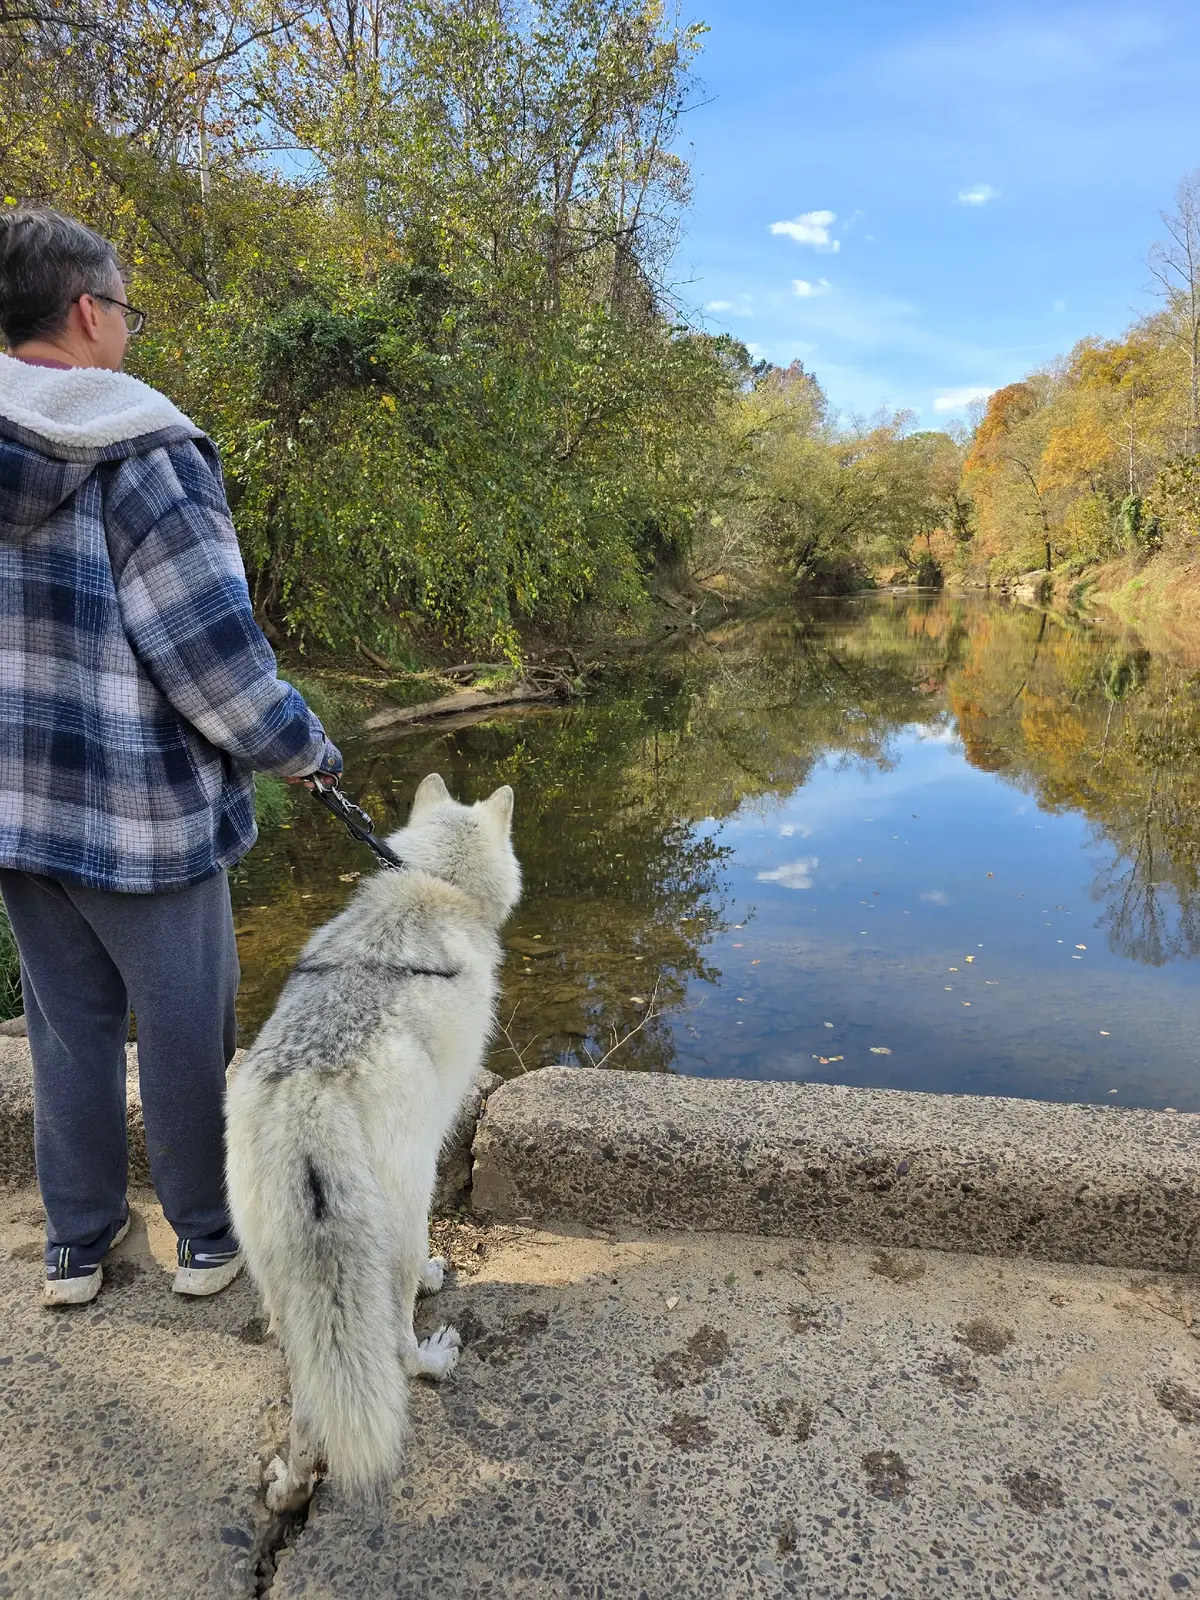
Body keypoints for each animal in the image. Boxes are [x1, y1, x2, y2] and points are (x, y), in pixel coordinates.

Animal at [225, 772, 520, 1510]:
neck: (433, 886)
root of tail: (311, 1104)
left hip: (284, 1291)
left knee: (308, 1403)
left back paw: (292, 1487)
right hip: (400, 1232)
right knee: (396, 1347)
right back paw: (434, 1358)